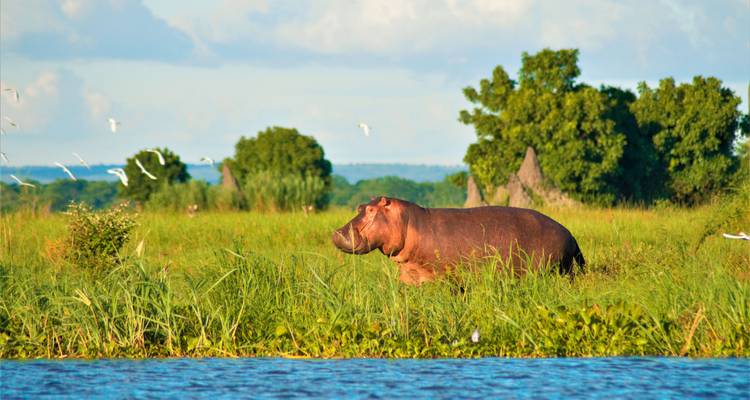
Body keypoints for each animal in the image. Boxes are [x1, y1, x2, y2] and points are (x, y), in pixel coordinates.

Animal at [332, 197, 585, 285]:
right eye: (360, 207)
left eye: (371, 210)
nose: (337, 232)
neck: (408, 221)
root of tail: (571, 234)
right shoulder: (410, 274)